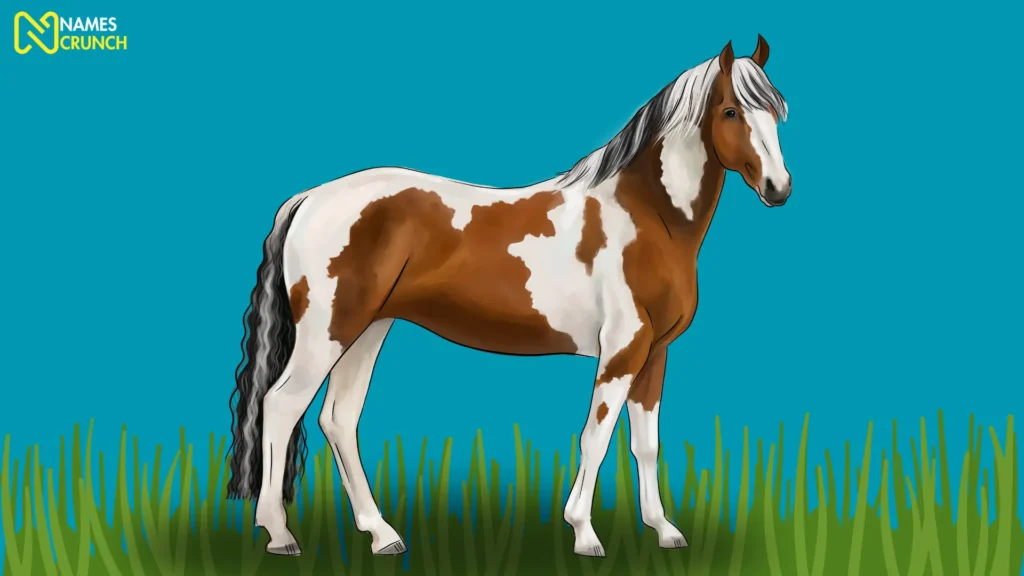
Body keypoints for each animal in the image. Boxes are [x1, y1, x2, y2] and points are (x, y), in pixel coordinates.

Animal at [226, 35, 791, 558]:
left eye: (777, 110)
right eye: (731, 110)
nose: (779, 188)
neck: (649, 216)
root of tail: (308, 199)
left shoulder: (654, 354)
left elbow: (645, 444)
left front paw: (665, 531)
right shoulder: (621, 351)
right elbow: (596, 439)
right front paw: (584, 534)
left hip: (367, 330)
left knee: (338, 419)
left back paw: (382, 535)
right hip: (328, 332)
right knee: (282, 405)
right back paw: (280, 534)